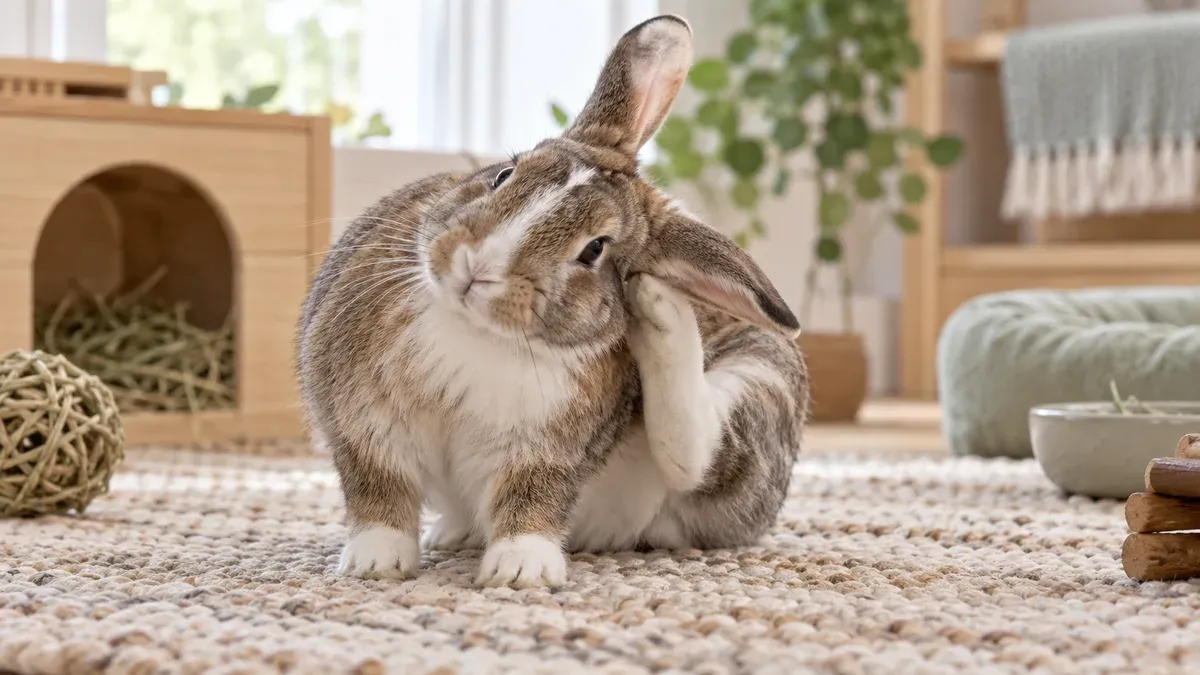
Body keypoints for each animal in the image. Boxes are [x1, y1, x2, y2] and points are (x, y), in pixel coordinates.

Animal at [296, 14, 810, 589]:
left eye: (594, 249)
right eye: (504, 172)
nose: (479, 266)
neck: (476, 329)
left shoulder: (549, 451)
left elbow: (532, 496)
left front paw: (521, 570)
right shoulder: (363, 424)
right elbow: (378, 490)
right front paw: (375, 562)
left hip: (761, 385)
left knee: (701, 456)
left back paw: (661, 307)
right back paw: (451, 534)